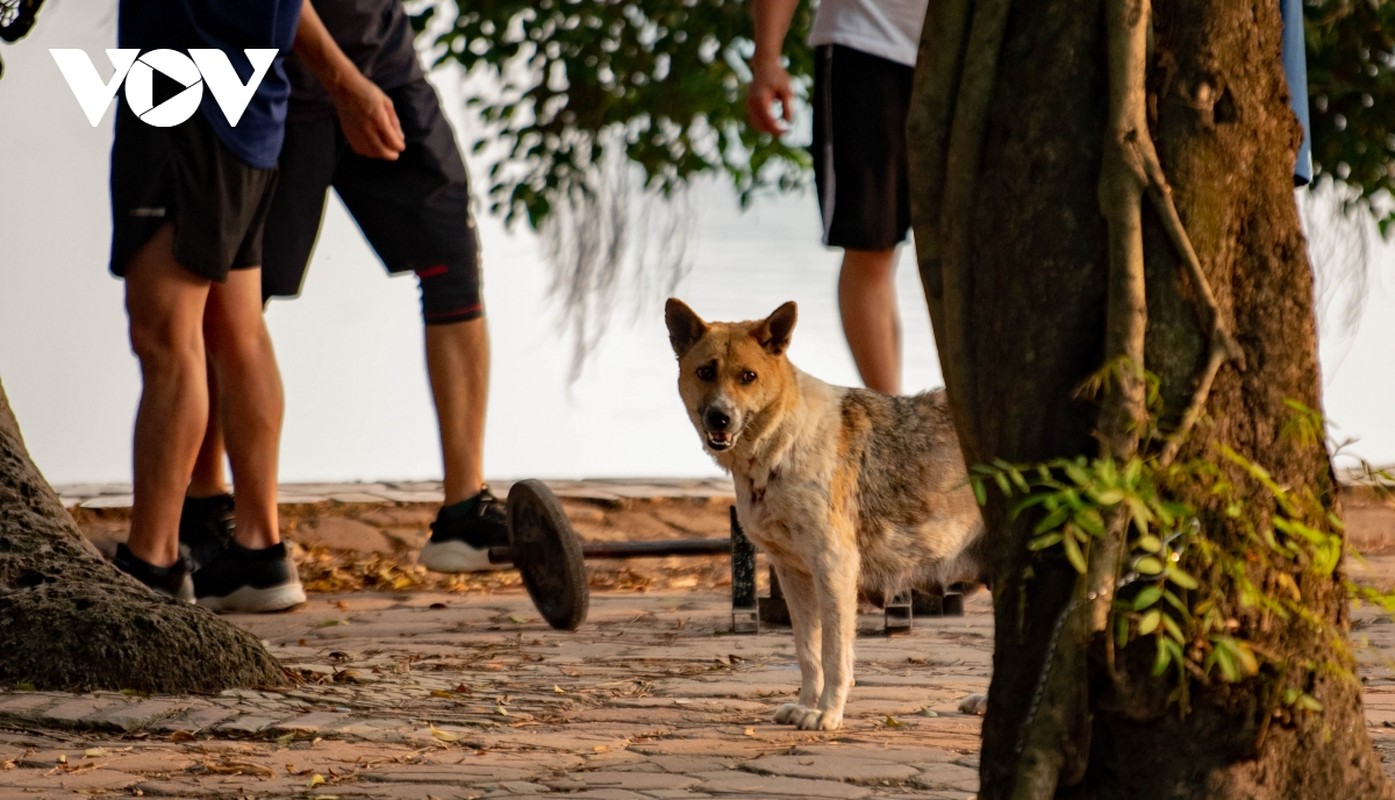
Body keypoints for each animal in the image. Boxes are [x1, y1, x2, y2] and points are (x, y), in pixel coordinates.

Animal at [666, 298, 987, 731]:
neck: (782, 443)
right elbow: (808, 653)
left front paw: (828, 713)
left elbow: (835, 654)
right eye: (704, 372)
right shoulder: (793, 574)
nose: (720, 417)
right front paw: (805, 705)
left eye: (748, 377)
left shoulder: (835, 568)